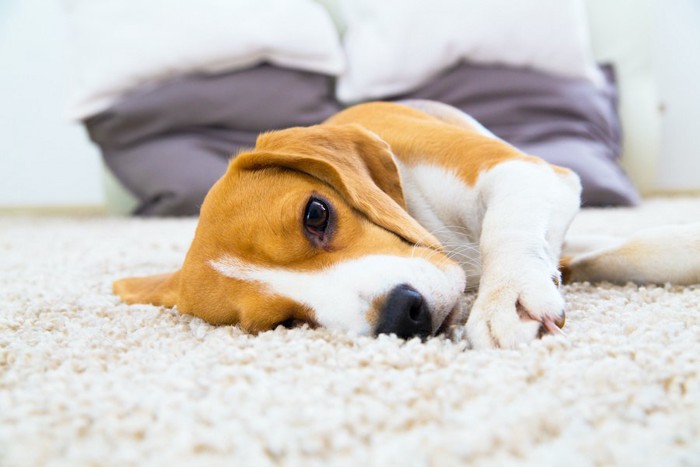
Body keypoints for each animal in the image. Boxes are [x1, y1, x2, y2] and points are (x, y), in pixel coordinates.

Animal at [112, 100, 696, 350]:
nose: (401, 313)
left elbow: (511, 231)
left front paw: (507, 298)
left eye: (316, 214)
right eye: (283, 323)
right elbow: (628, 252)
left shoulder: (524, 172)